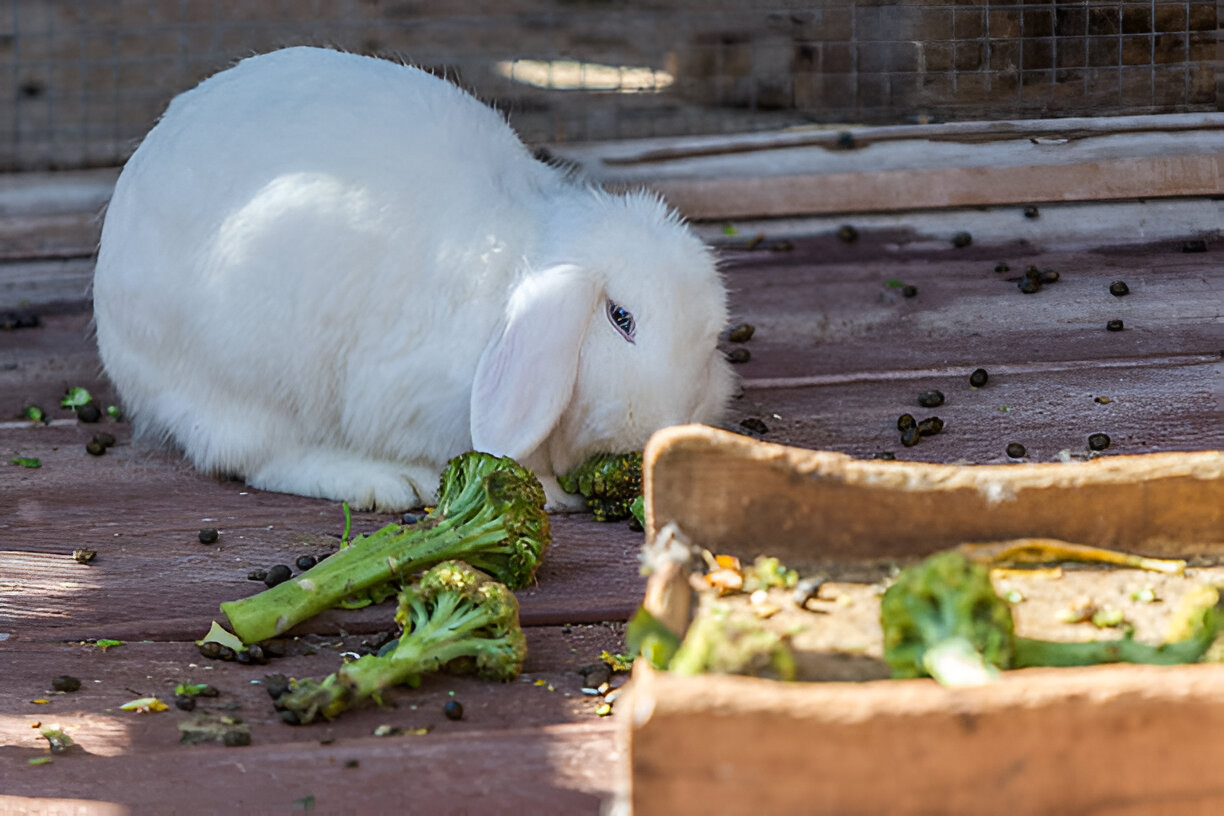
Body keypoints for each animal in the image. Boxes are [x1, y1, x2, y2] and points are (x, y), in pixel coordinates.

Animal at [93, 46, 734, 511]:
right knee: (255, 457)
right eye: (622, 319)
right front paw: (553, 495)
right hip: (248, 376)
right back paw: (385, 483)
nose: (668, 427)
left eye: (710, 343)